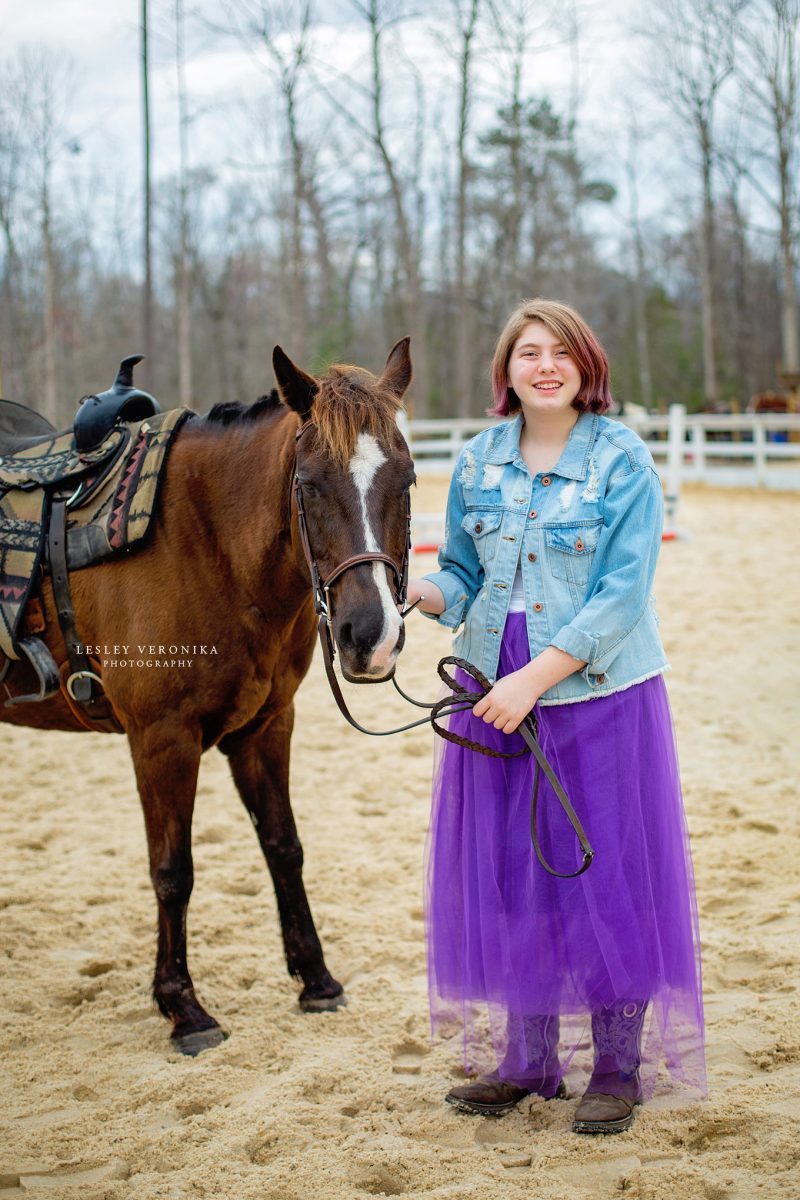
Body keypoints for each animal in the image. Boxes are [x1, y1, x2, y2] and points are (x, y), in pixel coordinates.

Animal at [0, 338, 412, 1051]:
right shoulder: (162, 738)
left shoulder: (265, 726)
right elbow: (173, 870)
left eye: (409, 480)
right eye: (309, 484)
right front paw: (183, 1008)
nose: (372, 636)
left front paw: (317, 980)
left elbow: (284, 847)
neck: (207, 542)